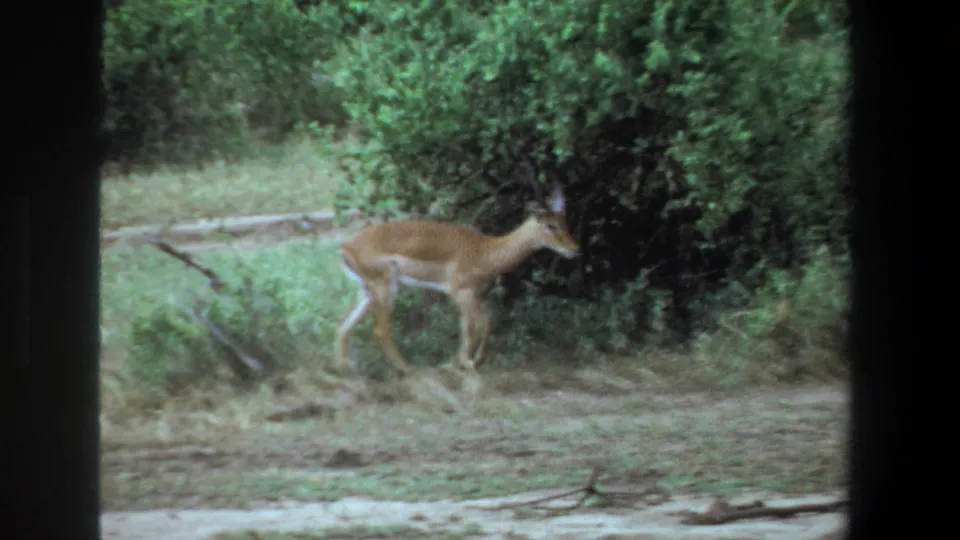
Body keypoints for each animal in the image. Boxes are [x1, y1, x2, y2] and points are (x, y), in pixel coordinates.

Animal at [334, 183, 580, 376]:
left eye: (565, 222)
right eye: (550, 225)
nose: (574, 249)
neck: (485, 251)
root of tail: (346, 247)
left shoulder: (472, 296)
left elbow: (469, 328)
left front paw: (455, 363)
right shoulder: (462, 293)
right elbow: (482, 324)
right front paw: (470, 362)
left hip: (367, 291)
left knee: (344, 322)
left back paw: (344, 367)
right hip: (385, 288)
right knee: (380, 329)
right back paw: (407, 369)